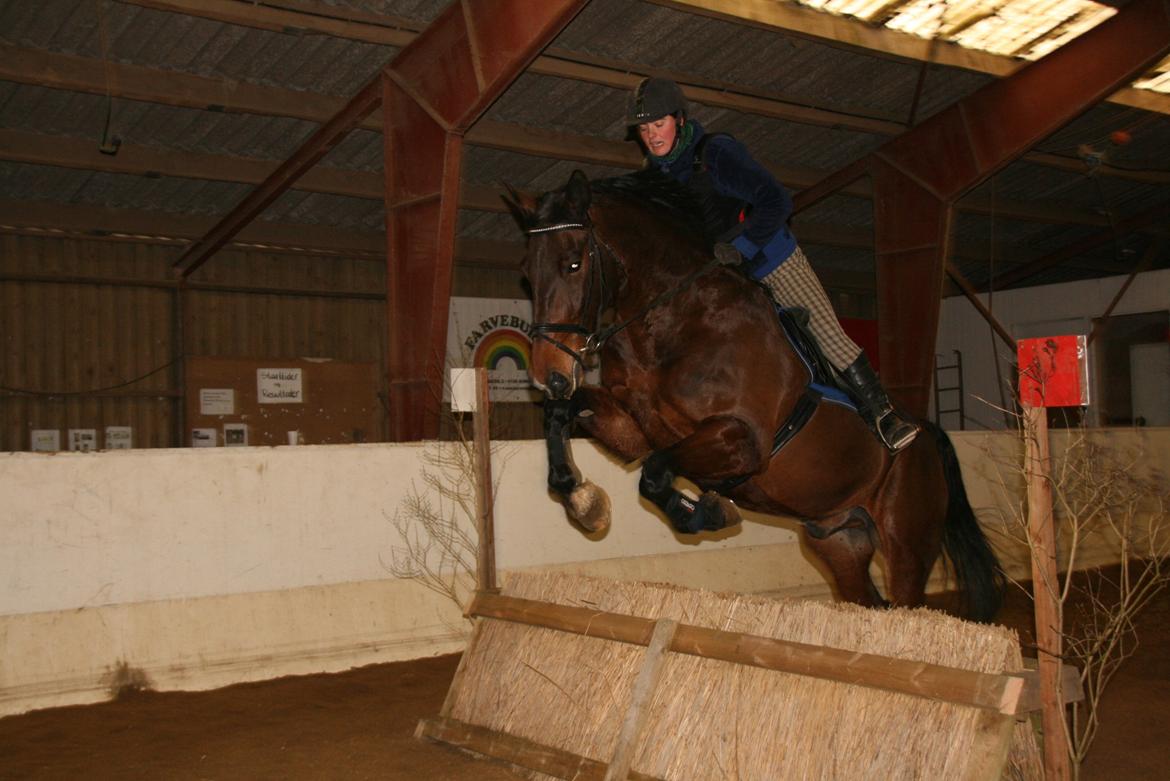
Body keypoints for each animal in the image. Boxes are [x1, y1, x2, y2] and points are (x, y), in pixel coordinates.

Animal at [503, 168, 1006, 617]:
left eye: (574, 262)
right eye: (525, 272)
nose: (548, 373)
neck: (669, 319)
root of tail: (928, 434)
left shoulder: (742, 440)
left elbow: (656, 472)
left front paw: (706, 513)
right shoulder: (633, 429)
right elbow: (567, 417)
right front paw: (582, 501)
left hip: (906, 542)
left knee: (906, 599)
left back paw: (891, 425)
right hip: (839, 538)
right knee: (869, 599)